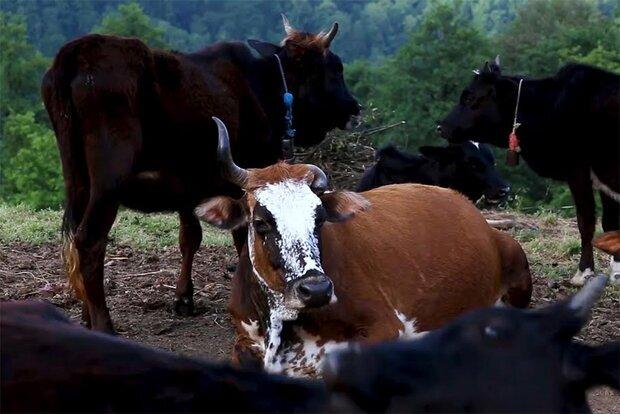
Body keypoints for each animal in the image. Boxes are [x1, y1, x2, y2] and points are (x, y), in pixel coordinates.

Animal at [436, 56, 620, 286]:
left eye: (470, 98)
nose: (441, 127)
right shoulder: (603, 179)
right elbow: (610, 222)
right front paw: (616, 272)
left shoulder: (578, 171)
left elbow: (585, 221)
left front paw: (583, 272)